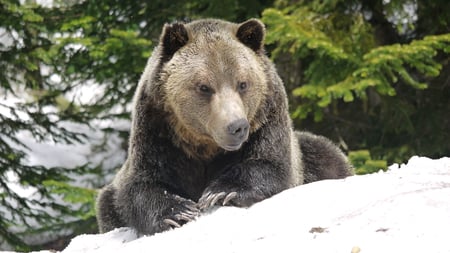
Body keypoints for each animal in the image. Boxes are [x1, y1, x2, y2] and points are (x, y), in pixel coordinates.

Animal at [96, 18, 354, 235]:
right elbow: (142, 184)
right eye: (204, 87)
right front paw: (179, 212)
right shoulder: (157, 130)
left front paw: (219, 191)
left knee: (327, 156)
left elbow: (270, 164)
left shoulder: (268, 120)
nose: (237, 126)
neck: (203, 146)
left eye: (243, 83)